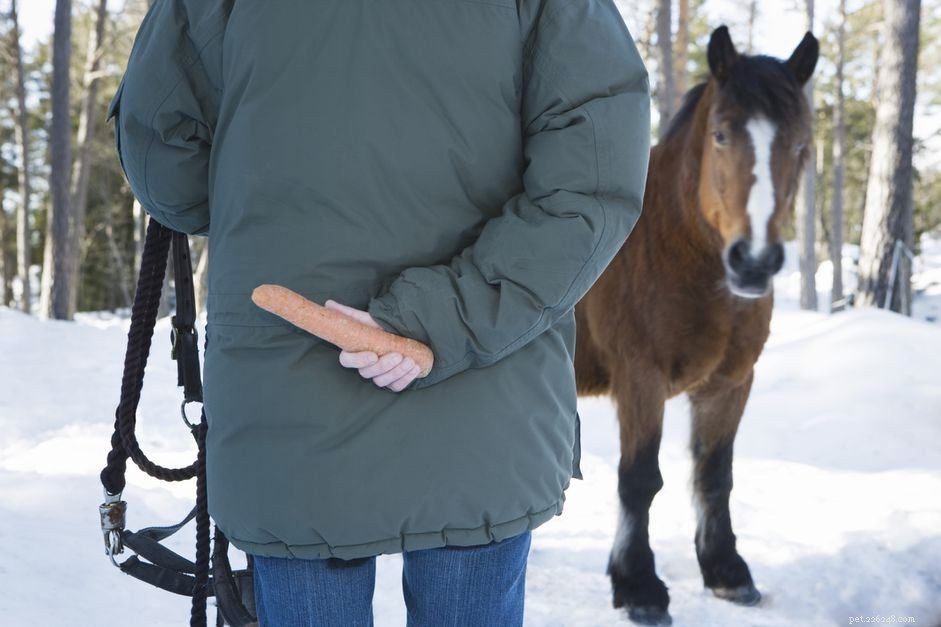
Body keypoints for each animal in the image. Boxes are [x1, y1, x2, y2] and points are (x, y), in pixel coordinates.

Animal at [573, 26, 819, 625]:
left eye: (800, 143)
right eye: (721, 135)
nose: (753, 262)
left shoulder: (728, 384)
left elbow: (714, 475)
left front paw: (726, 571)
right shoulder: (640, 379)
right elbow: (640, 479)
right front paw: (638, 585)